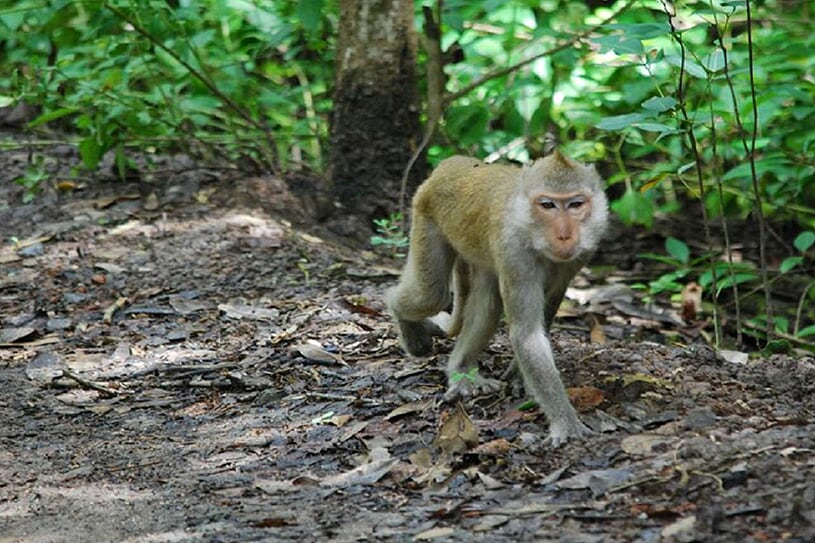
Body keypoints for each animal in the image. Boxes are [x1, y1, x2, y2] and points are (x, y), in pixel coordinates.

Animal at [386, 151, 609, 445]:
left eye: (576, 204)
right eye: (547, 205)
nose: (564, 234)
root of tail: (452, 162)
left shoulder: (578, 256)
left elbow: (544, 314)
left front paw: (518, 375)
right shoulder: (514, 253)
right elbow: (526, 334)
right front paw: (566, 422)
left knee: (486, 304)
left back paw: (460, 367)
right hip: (426, 215)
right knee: (431, 295)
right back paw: (404, 320)